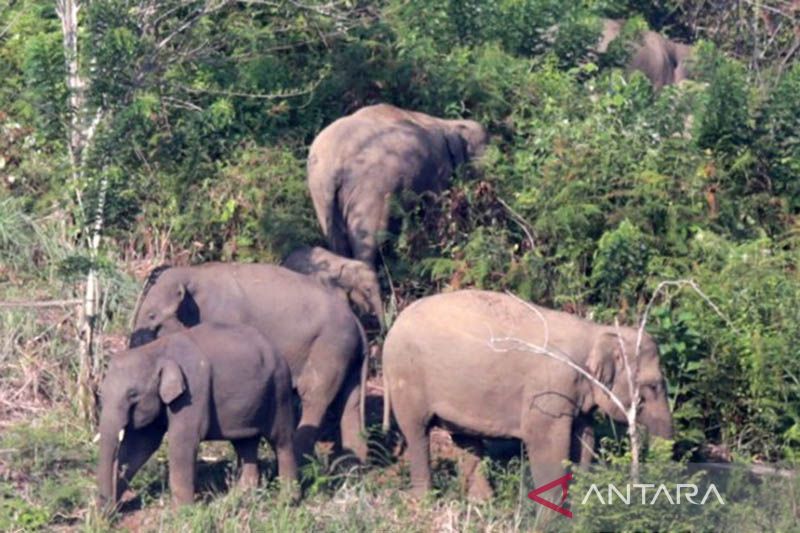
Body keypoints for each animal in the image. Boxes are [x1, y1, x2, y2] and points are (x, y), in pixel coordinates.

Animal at [96, 320, 296, 508]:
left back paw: (287, 501)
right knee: (245, 443)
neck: (157, 350)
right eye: (101, 394)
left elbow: (183, 441)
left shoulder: (192, 392)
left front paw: (182, 512)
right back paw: (239, 497)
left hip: (279, 391)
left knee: (281, 441)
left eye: (132, 394)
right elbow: (140, 445)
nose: (106, 511)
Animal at [130, 262, 370, 462]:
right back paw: (353, 466)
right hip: (347, 355)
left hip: (329, 348)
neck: (192, 273)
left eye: (151, 316)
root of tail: (359, 324)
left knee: (314, 397)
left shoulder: (224, 318)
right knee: (350, 404)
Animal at [306, 103, 488, 264]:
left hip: (320, 194)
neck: (447, 123)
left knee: (336, 241)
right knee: (369, 240)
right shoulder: (438, 170)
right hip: (371, 190)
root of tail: (334, 165)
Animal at [384, 290, 672, 502]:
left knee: (465, 438)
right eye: (653, 386)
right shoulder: (548, 388)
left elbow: (584, 439)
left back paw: (483, 503)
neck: (595, 332)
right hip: (406, 378)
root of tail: (392, 327)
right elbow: (546, 443)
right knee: (417, 433)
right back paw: (423, 502)